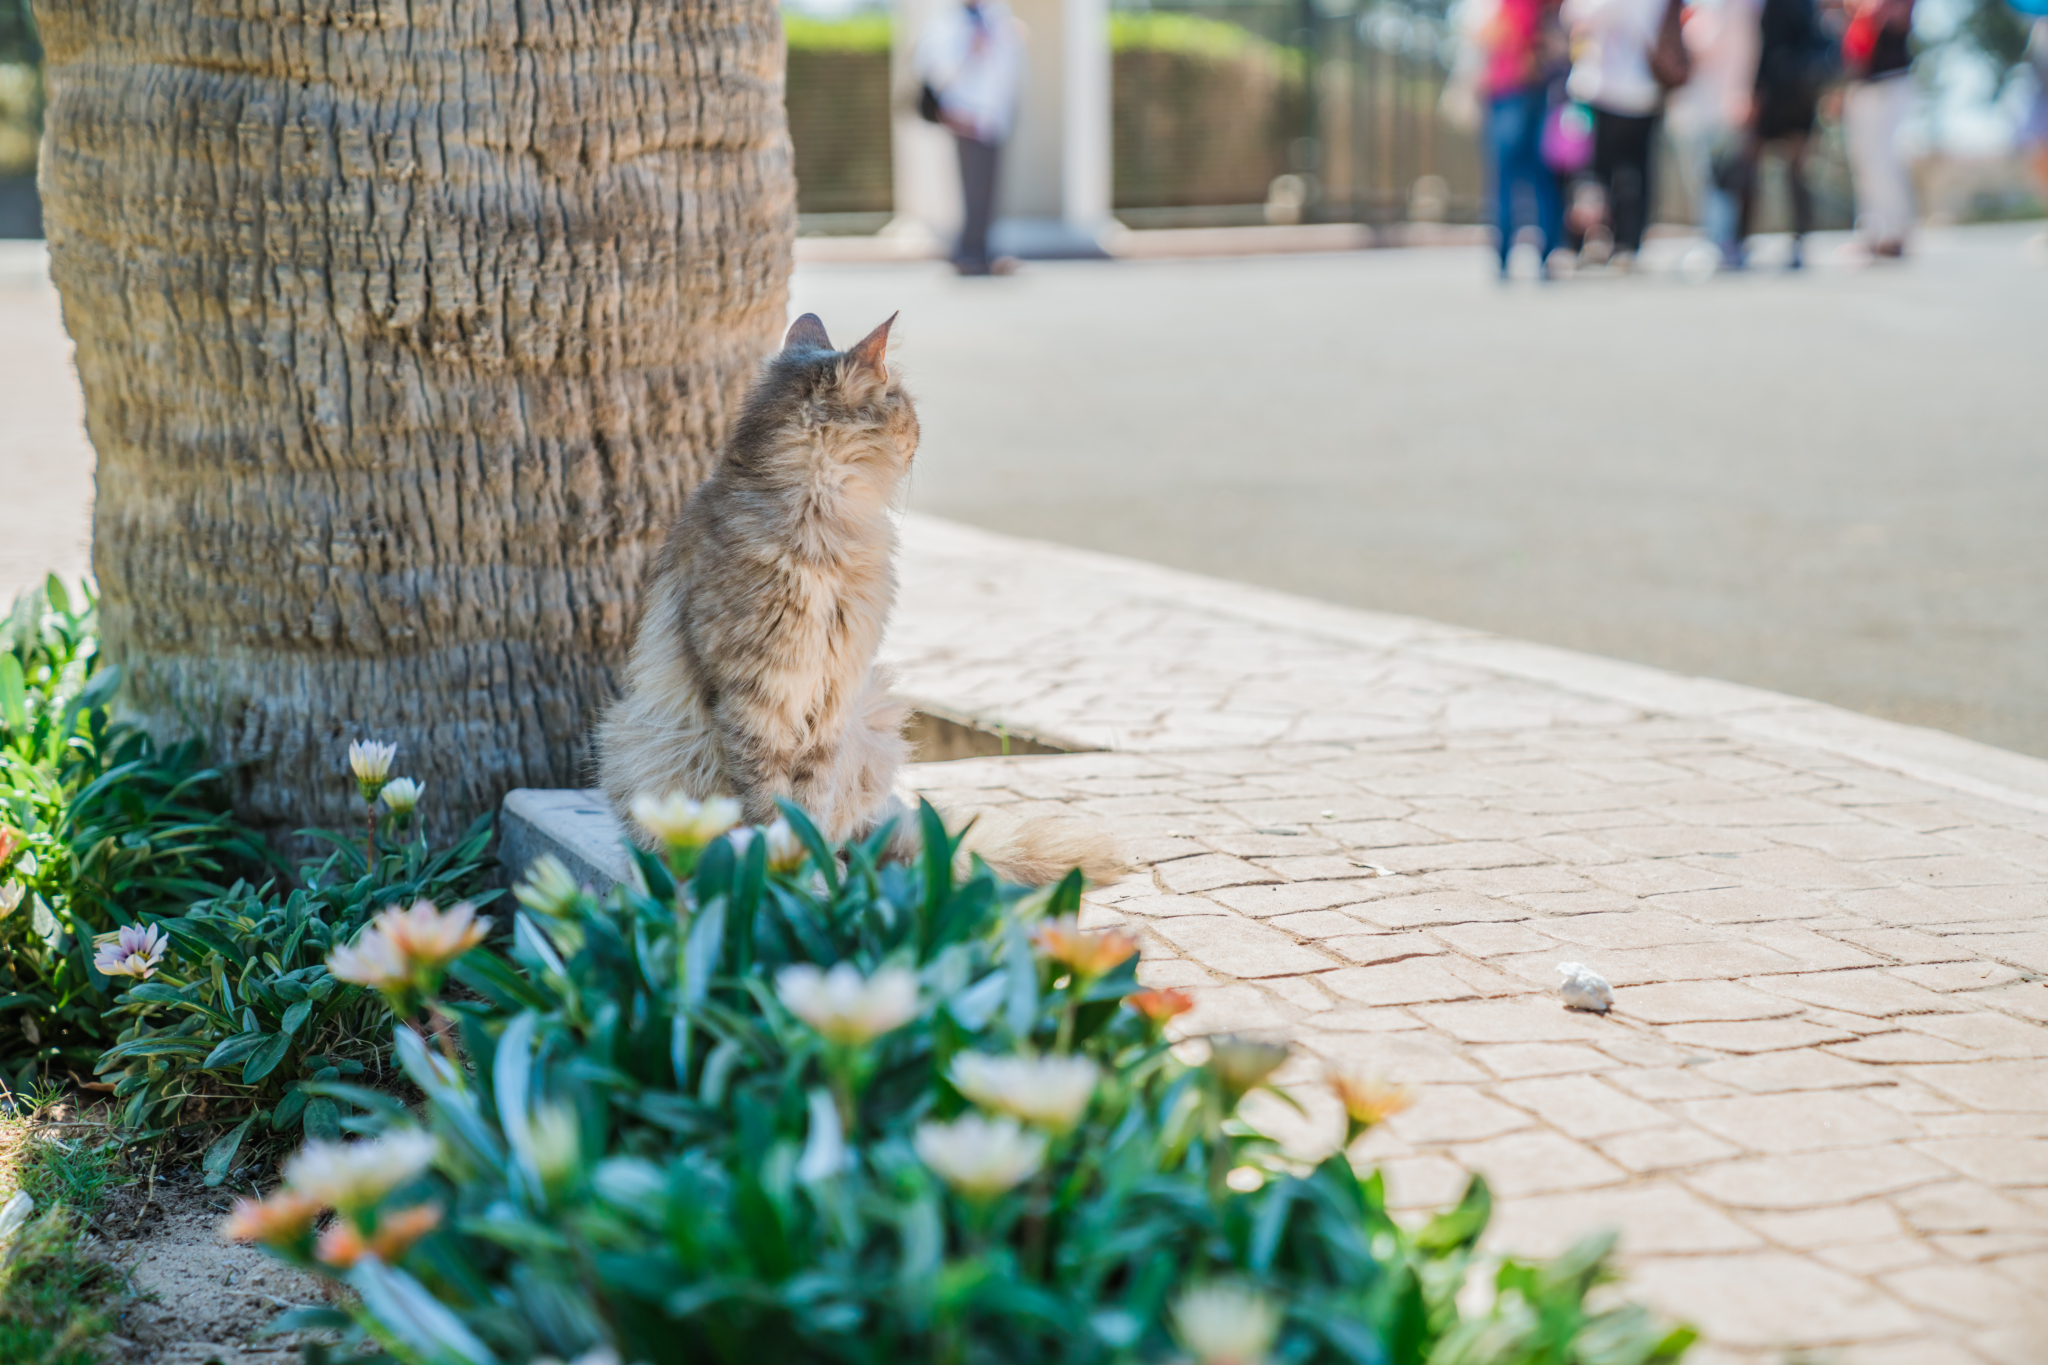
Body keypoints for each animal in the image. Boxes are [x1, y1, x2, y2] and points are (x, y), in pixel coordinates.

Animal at [598, 309, 1130, 888]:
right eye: (905, 407)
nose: (919, 435)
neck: (822, 531)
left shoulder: (834, 697)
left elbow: (811, 804)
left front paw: (813, 872)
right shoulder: (752, 699)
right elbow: (767, 802)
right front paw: (782, 876)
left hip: (872, 723)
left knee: (859, 834)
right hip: (636, 740)